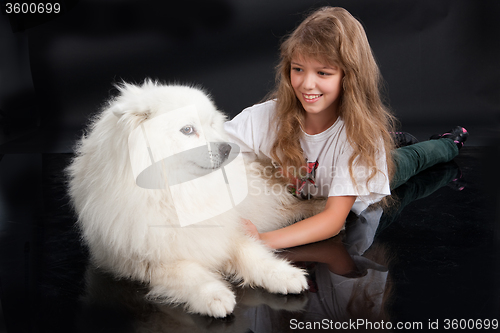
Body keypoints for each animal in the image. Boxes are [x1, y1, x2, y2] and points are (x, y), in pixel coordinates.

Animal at [65, 80, 324, 316]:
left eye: (210, 124)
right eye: (187, 130)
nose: (228, 148)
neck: (178, 191)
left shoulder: (226, 231)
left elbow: (252, 253)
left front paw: (283, 274)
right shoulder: (148, 260)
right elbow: (189, 273)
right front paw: (213, 295)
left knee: (287, 208)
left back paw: (317, 206)